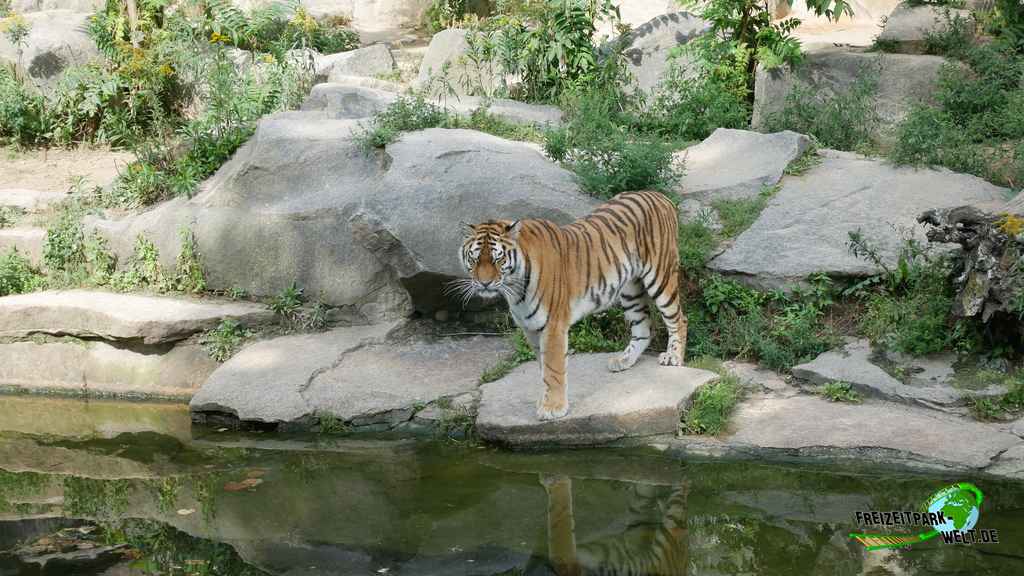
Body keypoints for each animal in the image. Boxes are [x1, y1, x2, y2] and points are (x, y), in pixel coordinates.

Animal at [456, 190, 688, 420]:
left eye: (498, 259)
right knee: (644, 328)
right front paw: (545, 400)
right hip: (631, 291)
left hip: (660, 277)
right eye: (474, 259)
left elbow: (553, 368)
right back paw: (624, 360)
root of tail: (659, 196)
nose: (484, 283)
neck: (515, 287)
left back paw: (673, 357)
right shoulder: (530, 327)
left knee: (679, 319)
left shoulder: (553, 326)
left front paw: (553, 408)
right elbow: (542, 368)